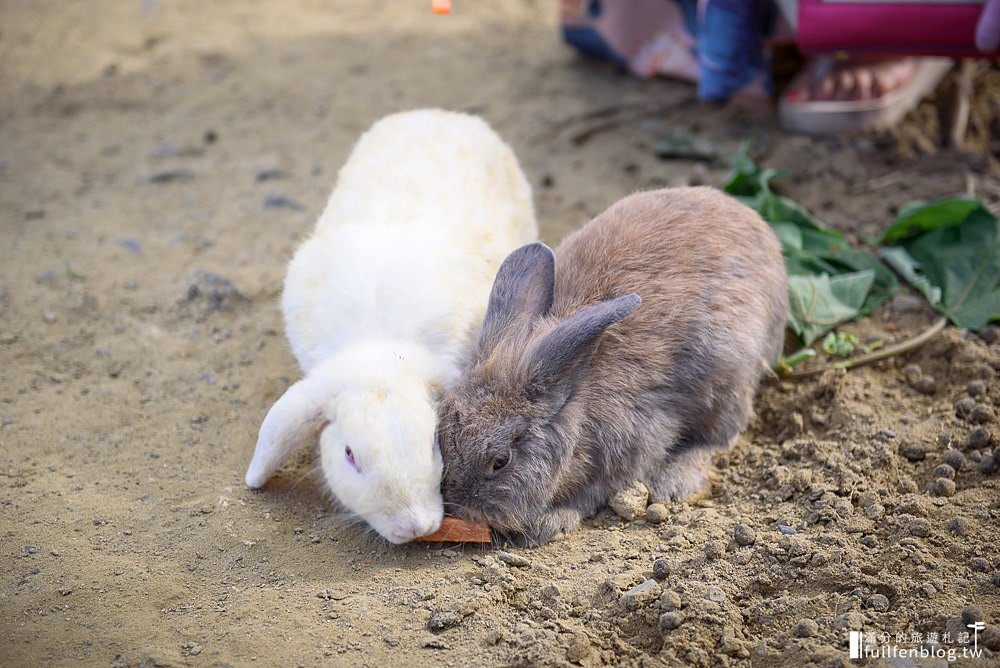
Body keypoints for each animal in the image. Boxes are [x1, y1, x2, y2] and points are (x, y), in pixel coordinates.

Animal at [438, 185, 788, 544]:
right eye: (443, 437)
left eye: (500, 461)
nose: (460, 507)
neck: (574, 395)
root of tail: (761, 232)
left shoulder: (635, 446)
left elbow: (594, 492)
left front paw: (550, 522)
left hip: (730, 375)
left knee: (721, 437)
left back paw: (673, 480)